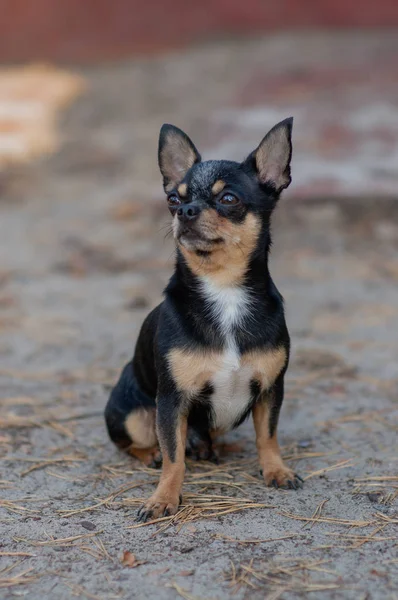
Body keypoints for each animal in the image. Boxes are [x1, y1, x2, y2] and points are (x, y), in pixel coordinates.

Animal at [104, 117, 304, 520]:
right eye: (173, 199)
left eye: (228, 199)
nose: (185, 211)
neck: (223, 290)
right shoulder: (172, 401)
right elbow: (173, 457)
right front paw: (163, 497)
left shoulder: (271, 390)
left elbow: (268, 435)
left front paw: (276, 470)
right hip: (132, 414)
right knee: (138, 443)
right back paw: (153, 454)